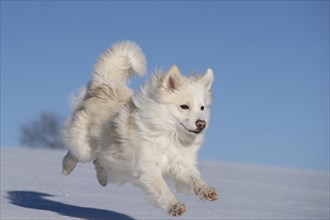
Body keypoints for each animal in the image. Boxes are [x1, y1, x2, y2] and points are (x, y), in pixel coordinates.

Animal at [61, 40, 218, 216]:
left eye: (202, 108)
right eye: (184, 106)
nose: (201, 124)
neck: (171, 136)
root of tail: (104, 85)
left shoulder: (181, 166)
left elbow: (195, 179)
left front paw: (207, 191)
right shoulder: (148, 167)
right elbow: (163, 189)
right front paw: (175, 206)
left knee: (99, 161)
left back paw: (102, 179)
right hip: (84, 147)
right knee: (76, 153)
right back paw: (66, 168)